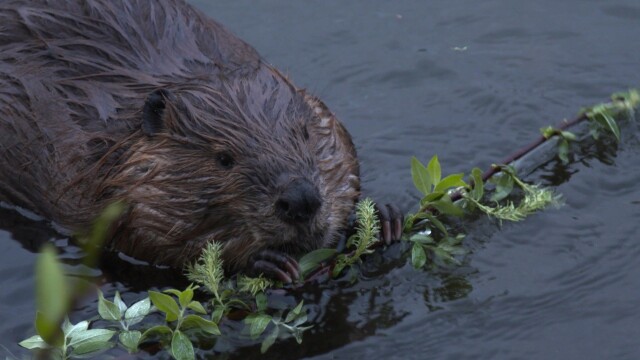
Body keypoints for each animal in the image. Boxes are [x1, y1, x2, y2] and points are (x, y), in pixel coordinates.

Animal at [0, 0, 400, 282]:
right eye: (224, 159)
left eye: (304, 133)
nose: (300, 200)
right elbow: (140, 239)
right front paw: (265, 260)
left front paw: (381, 216)